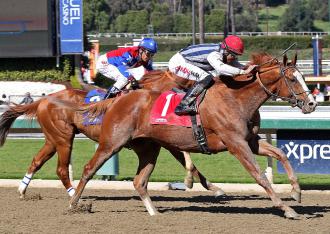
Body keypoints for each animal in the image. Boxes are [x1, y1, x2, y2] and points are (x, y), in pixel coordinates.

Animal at [60, 53, 316, 218]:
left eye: (302, 77)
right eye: (292, 78)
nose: (312, 103)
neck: (236, 98)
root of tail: (117, 99)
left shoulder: (250, 141)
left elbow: (281, 154)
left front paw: (296, 192)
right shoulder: (235, 144)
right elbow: (259, 175)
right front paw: (287, 209)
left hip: (148, 148)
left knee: (139, 181)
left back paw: (154, 213)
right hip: (112, 142)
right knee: (89, 169)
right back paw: (74, 204)